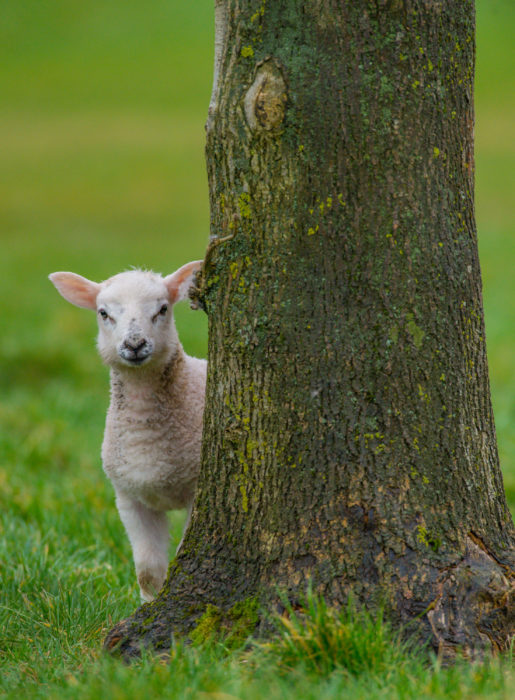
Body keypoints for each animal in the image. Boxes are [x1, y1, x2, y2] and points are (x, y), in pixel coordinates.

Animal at [49, 262, 207, 600]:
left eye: (163, 309)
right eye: (103, 313)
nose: (134, 344)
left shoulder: (194, 492)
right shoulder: (128, 497)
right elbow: (147, 571)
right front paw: (149, 603)